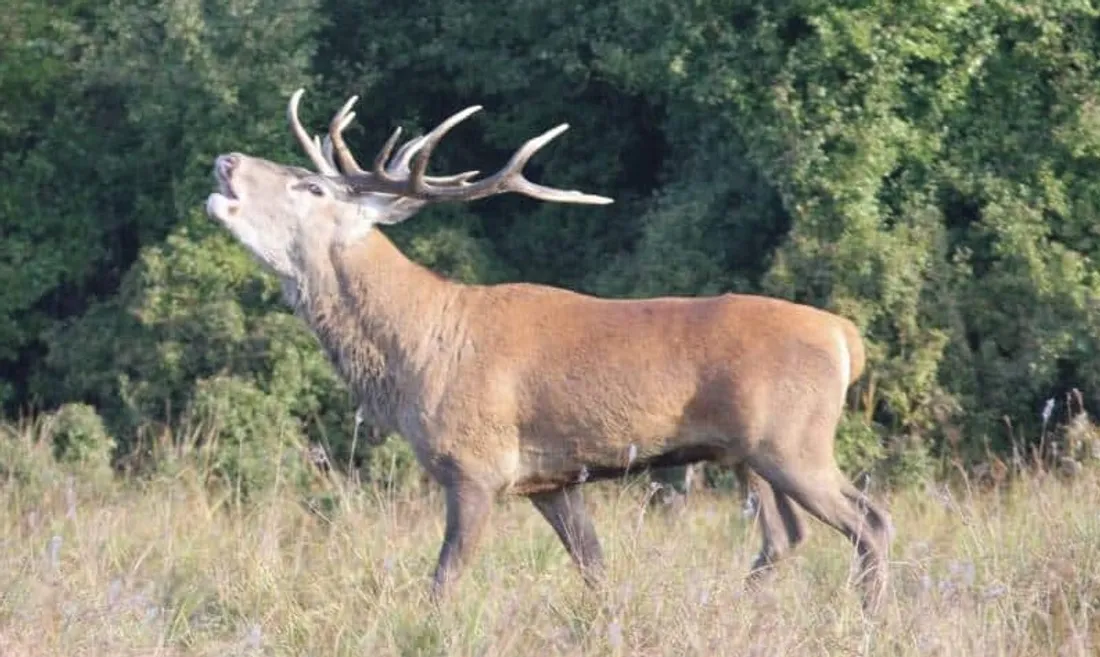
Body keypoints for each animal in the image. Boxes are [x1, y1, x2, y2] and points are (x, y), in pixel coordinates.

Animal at [204, 88, 894, 613]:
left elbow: (443, 580)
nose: (225, 160)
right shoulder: (550, 479)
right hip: (750, 455)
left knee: (870, 522)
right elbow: (594, 567)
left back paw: (866, 616)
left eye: (312, 187)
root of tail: (846, 337)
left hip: (793, 440)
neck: (418, 352)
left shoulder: (475, 464)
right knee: (787, 537)